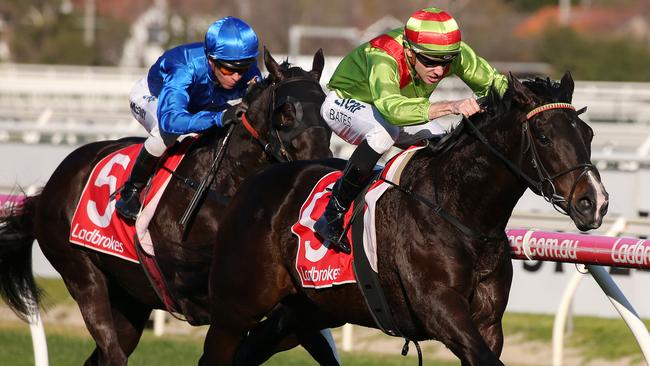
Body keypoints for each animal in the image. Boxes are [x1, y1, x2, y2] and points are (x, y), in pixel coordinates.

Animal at [0, 48, 334, 366]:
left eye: (328, 111)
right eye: (285, 113)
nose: (319, 165)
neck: (225, 185)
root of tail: (51, 186)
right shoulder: (200, 293)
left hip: (131, 299)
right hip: (82, 276)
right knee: (112, 352)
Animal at [199, 73, 608, 364]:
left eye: (588, 133)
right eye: (543, 136)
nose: (595, 202)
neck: (459, 211)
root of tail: (254, 181)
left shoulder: (488, 322)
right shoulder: (440, 309)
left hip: (306, 311)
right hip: (236, 309)